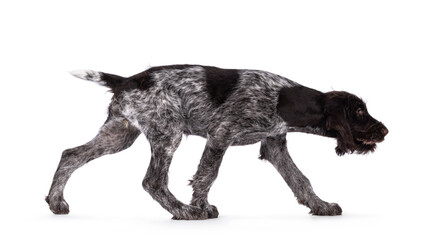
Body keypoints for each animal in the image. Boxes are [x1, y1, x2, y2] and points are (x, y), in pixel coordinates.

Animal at [46, 64, 388, 219]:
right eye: (360, 112)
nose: (385, 131)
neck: (282, 100)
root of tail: (129, 79)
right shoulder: (221, 135)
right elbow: (207, 175)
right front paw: (200, 206)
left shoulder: (274, 144)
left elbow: (300, 180)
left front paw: (320, 205)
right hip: (167, 133)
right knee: (153, 181)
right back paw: (183, 211)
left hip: (119, 135)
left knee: (69, 155)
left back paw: (56, 201)